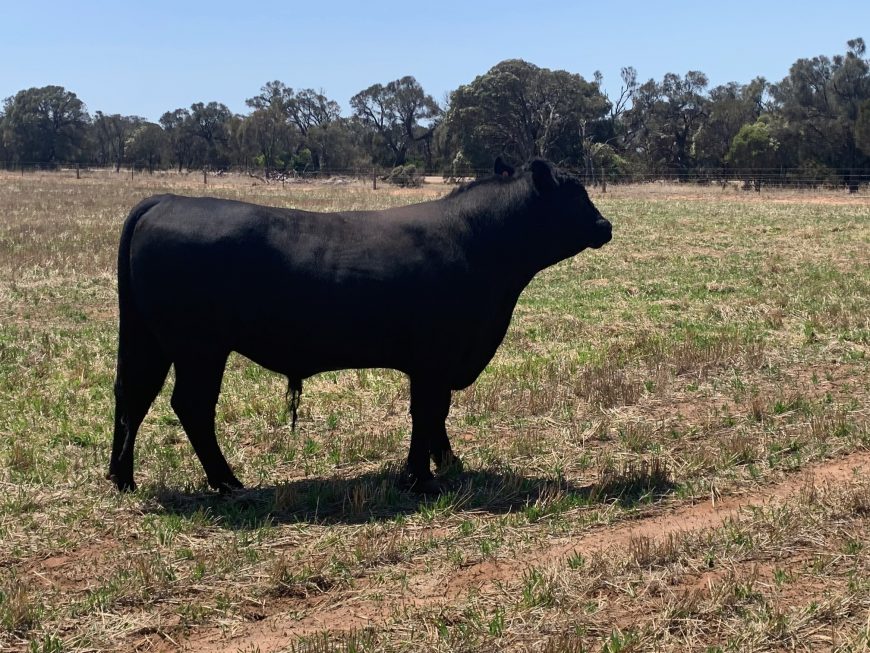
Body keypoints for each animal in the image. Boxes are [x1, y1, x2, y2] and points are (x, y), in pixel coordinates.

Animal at [108, 158, 612, 495]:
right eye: (574, 193)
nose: (605, 225)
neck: (478, 239)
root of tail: (165, 200)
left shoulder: (437, 361)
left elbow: (437, 415)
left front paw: (448, 464)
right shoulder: (435, 357)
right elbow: (427, 412)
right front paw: (419, 478)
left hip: (150, 341)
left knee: (132, 395)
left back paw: (122, 477)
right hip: (199, 348)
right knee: (190, 406)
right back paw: (227, 481)